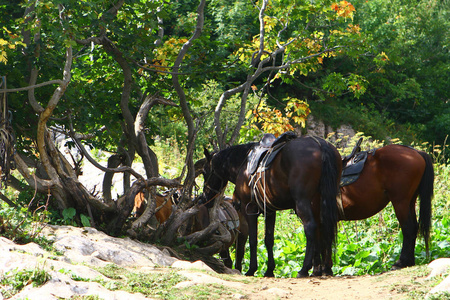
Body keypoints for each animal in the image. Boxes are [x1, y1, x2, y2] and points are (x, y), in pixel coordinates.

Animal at [201, 136, 342, 276]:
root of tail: (320, 144)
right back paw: (323, 269)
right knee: (323, 227)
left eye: (204, 172)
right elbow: (269, 240)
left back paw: (304, 269)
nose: (205, 198)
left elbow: (253, 240)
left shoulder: (250, 209)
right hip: (320, 201)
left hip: (303, 202)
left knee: (311, 227)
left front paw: (252, 269)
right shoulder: (269, 211)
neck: (243, 165)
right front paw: (269, 270)